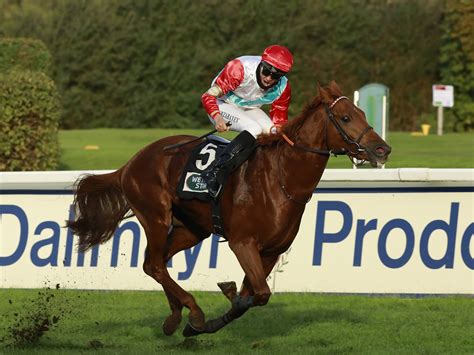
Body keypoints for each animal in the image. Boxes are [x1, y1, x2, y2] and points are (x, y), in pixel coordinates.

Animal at [67, 81, 392, 340]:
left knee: (155, 262)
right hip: (155, 217)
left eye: (363, 114)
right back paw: (193, 311)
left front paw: (209, 319)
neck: (281, 179)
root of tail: (131, 163)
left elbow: (255, 296)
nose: (382, 149)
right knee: (155, 265)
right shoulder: (242, 242)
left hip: (192, 228)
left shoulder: (271, 252)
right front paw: (221, 299)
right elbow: (259, 294)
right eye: (346, 117)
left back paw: (176, 317)